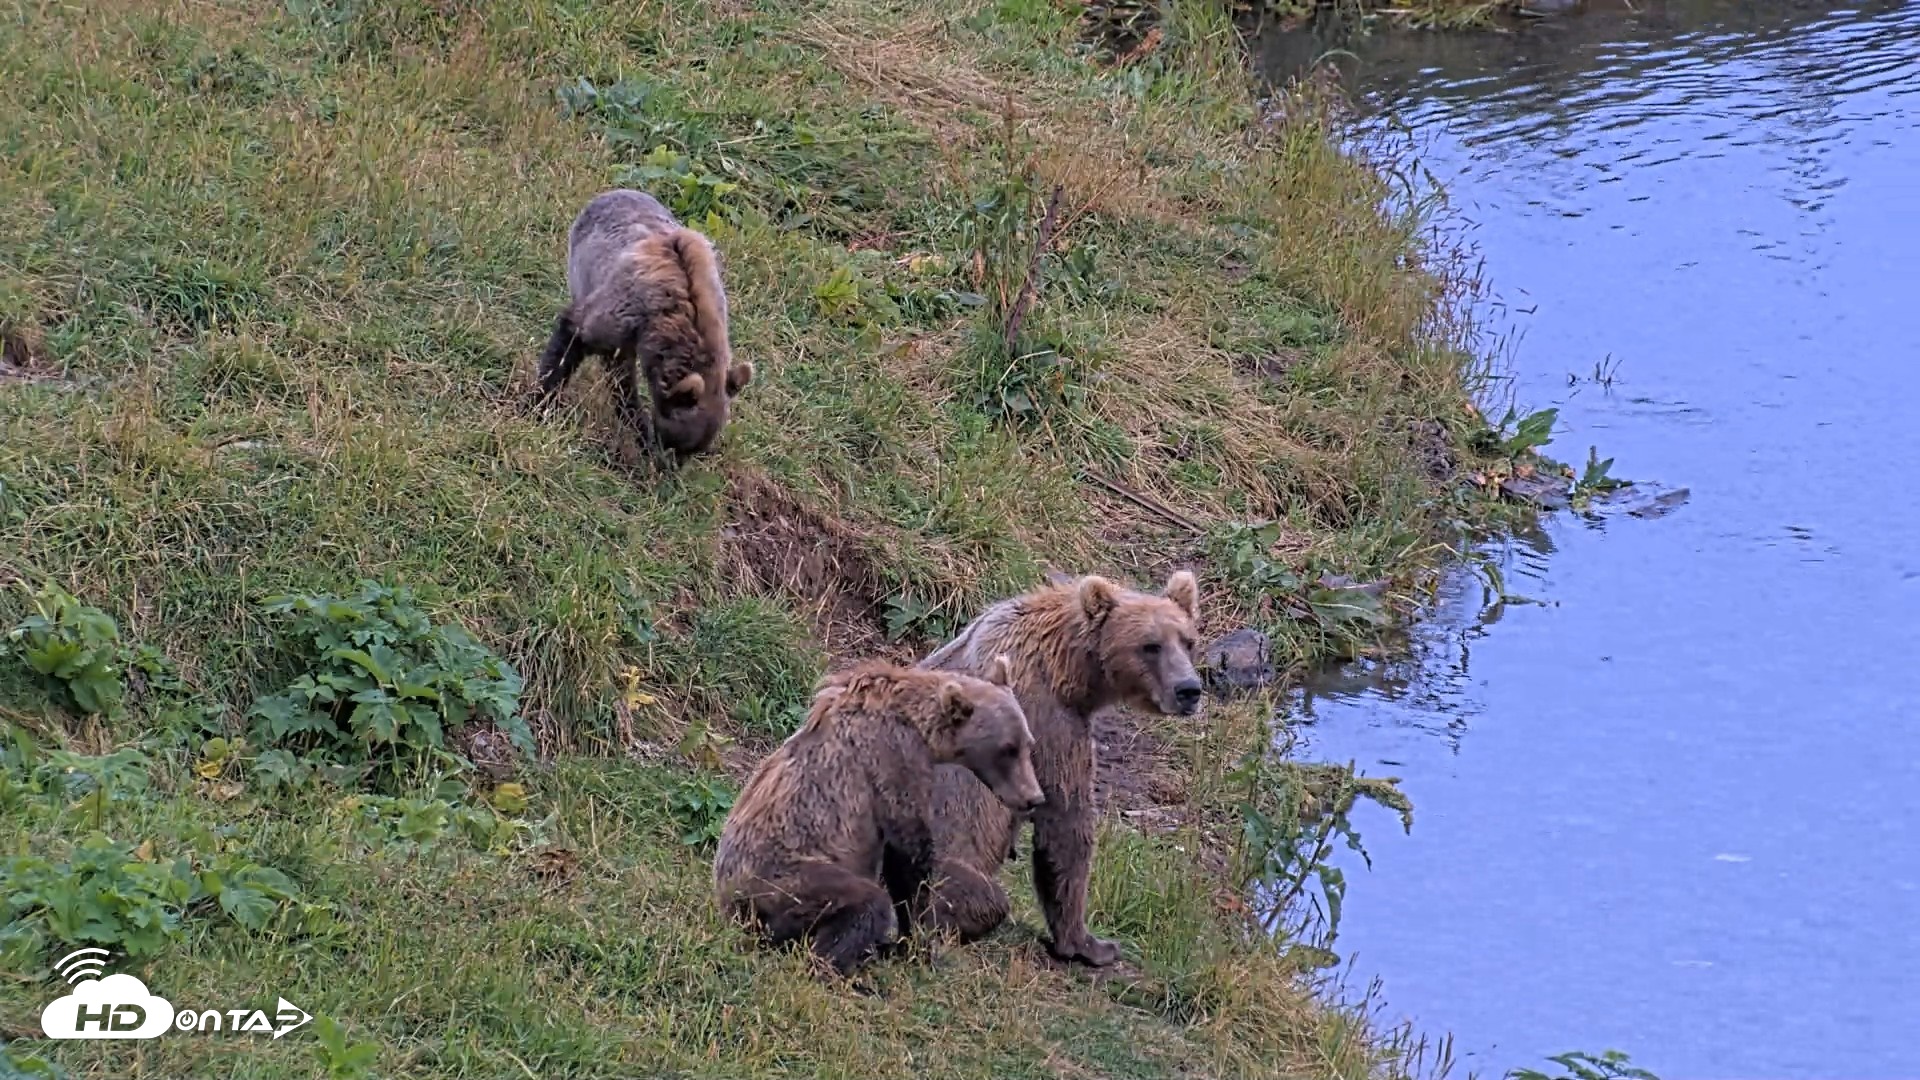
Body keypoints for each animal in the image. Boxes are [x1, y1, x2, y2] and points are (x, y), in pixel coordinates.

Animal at [532, 189, 754, 460]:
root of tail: (617, 190)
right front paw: (540, 403)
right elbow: (572, 340)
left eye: (696, 449)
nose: (667, 465)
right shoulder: (622, 312)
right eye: (675, 443)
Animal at [712, 657, 1046, 977]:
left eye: (1028, 744)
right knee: (862, 901)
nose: (1034, 798)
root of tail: (729, 909)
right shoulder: (894, 763)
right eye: (1007, 749)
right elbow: (908, 857)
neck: (922, 732)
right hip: (782, 881)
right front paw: (920, 944)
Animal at [916, 570, 1203, 967]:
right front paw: (1090, 944)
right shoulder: (1048, 725)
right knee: (981, 898)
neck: (1067, 670)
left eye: (1188, 641)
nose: (1189, 689)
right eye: (1151, 645)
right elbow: (1066, 823)